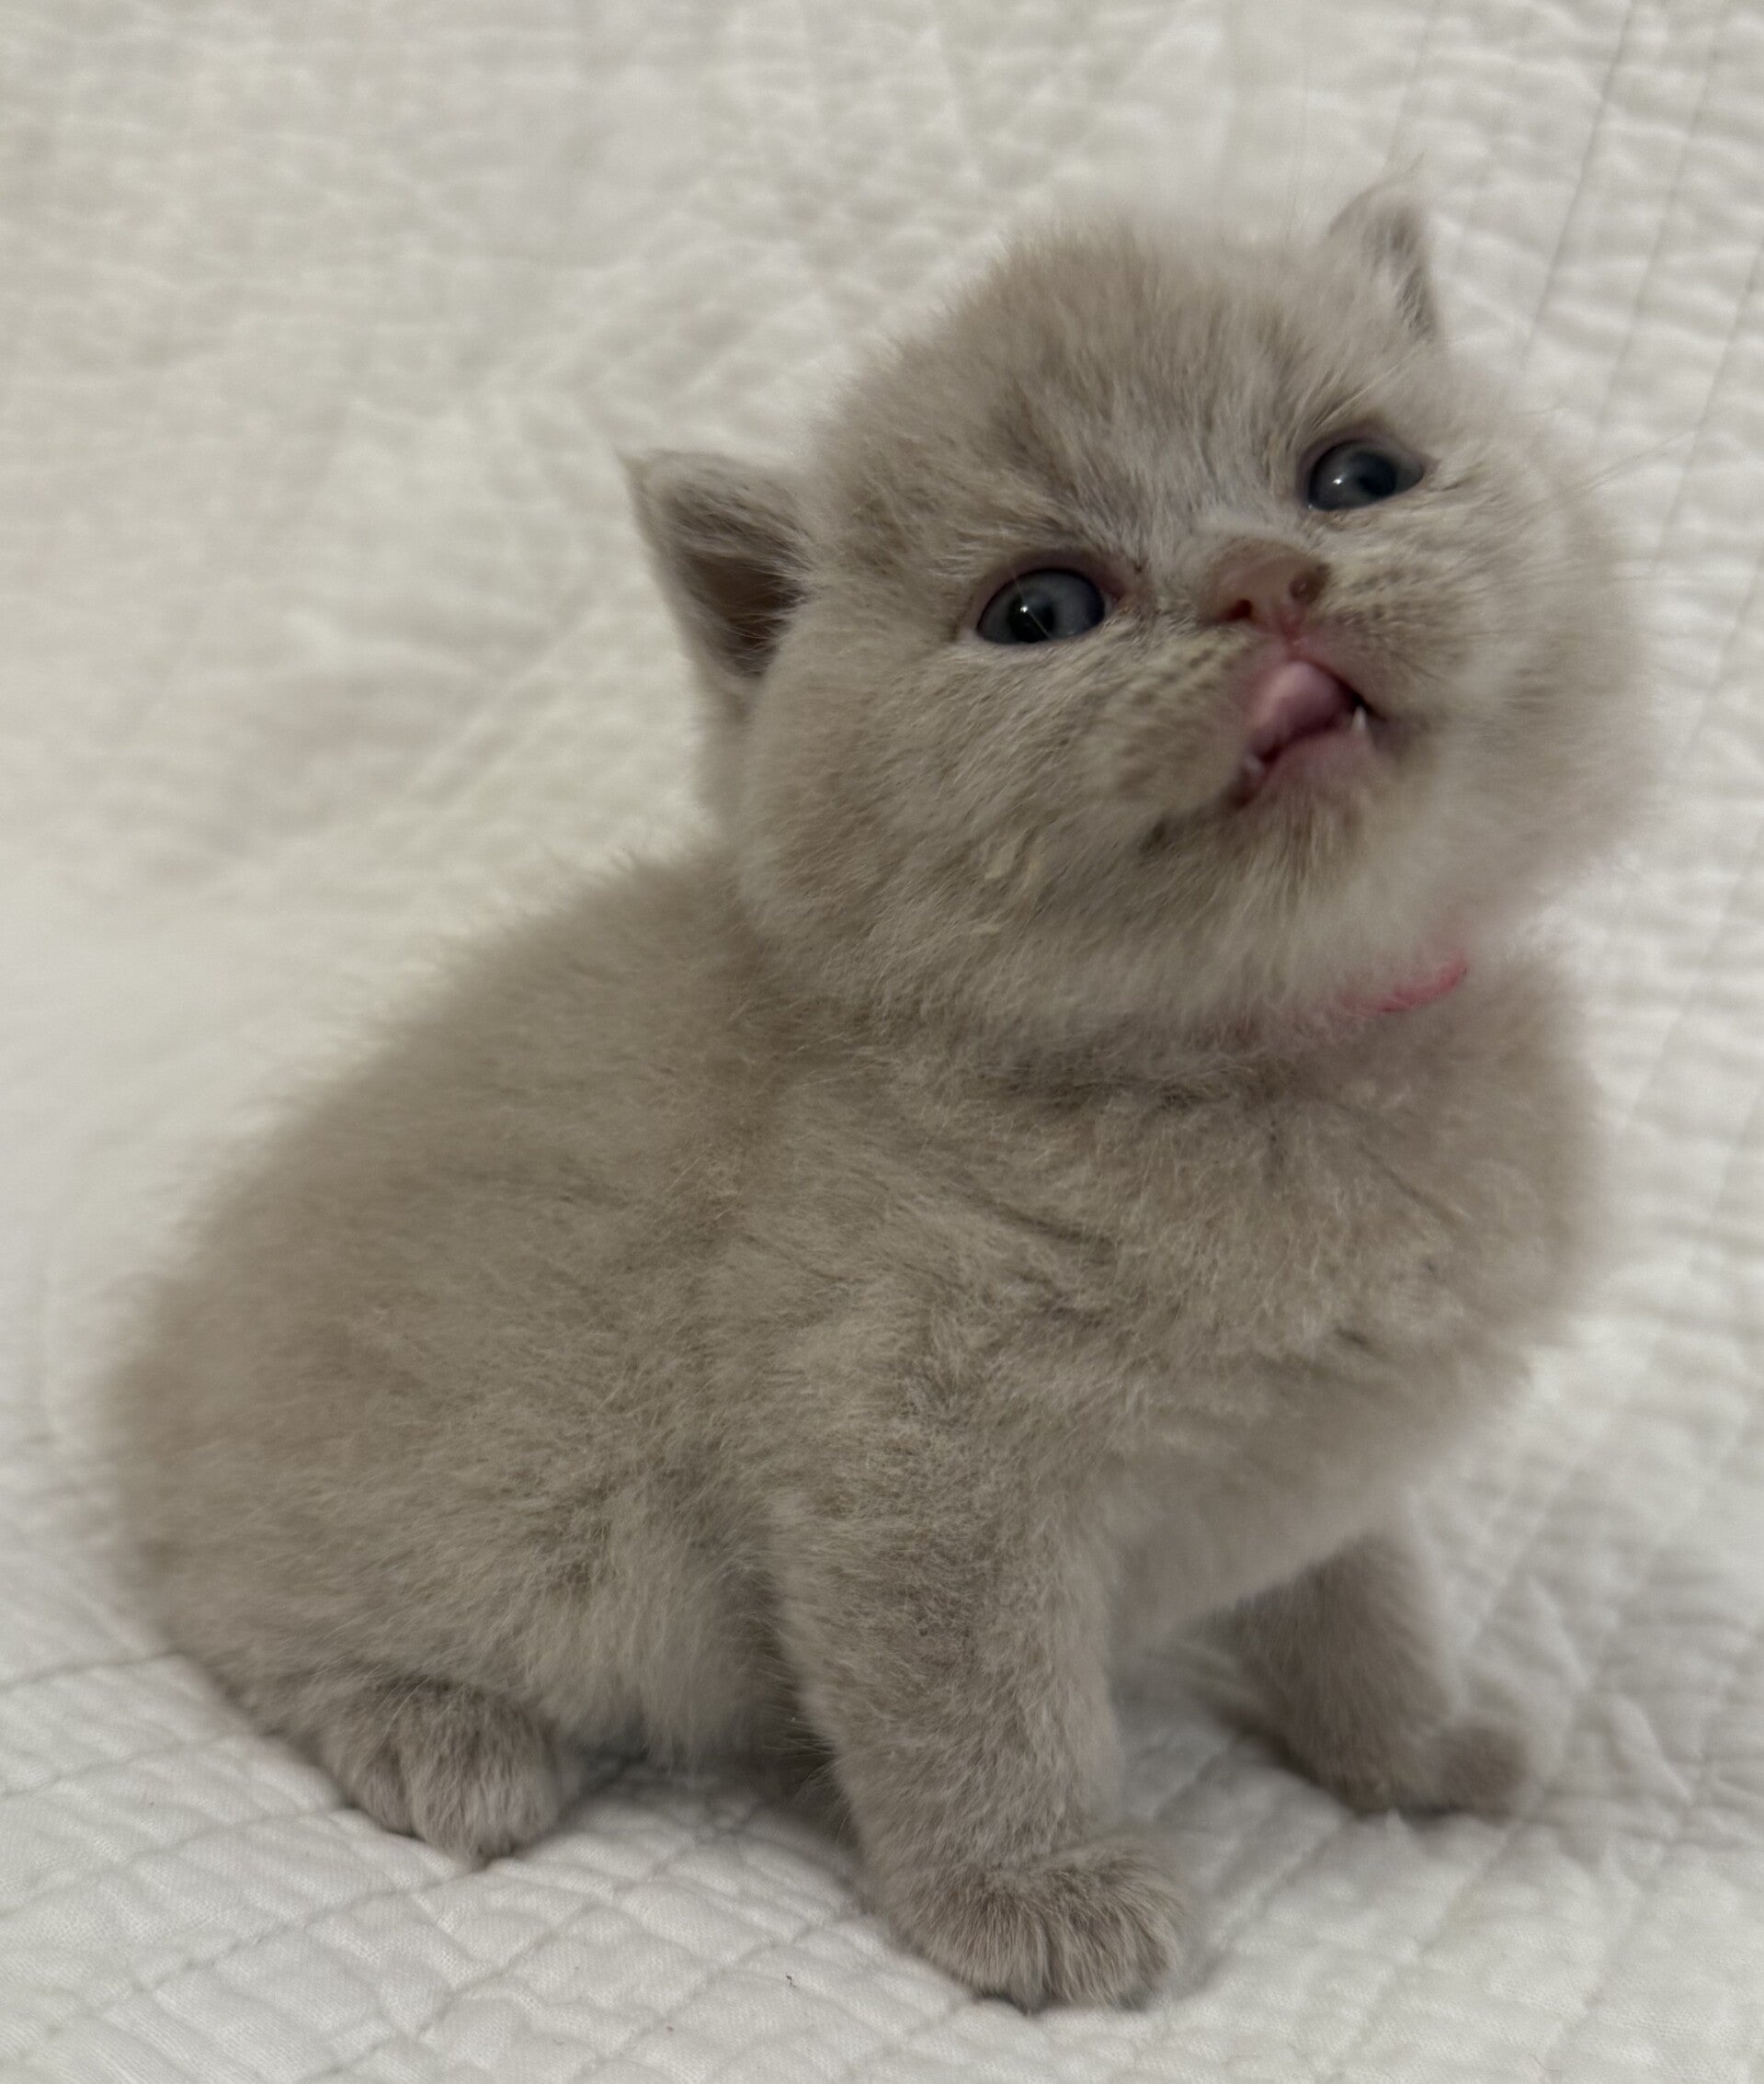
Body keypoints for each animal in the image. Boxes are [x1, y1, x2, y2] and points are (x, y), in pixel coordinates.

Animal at [109, 190, 1638, 2008]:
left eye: (1351, 475)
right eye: (1038, 610)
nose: (1263, 579)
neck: (1267, 1047)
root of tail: (152, 1379)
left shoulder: (1334, 1457)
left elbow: (1364, 1602)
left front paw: (1410, 1750)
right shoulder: (909, 1451)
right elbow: (968, 1703)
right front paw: (1030, 1896)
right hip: (503, 1523)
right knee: (244, 1611)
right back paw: (437, 1736)